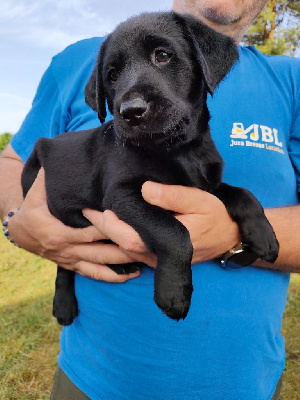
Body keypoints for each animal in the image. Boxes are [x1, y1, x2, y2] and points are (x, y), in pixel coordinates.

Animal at [21, 11, 278, 324]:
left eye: (163, 55)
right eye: (112, 75)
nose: (131, 111)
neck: (180, 149)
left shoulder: (207, 186)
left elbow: (243, 194)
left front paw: (264, 236)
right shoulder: (123, 195)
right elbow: (174, 233)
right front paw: (174, 294)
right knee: (64, 262)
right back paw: (66, 302)